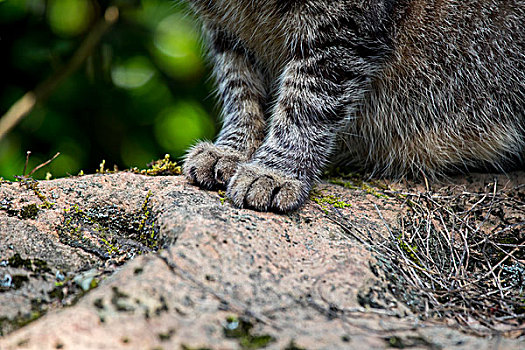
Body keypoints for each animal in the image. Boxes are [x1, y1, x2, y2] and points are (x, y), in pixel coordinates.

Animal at [181, 0, 524, 212]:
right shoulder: (227, 32)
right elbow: (240, 90)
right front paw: (232, 150)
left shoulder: (340, 29)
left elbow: (305, 102)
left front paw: (275, 171)